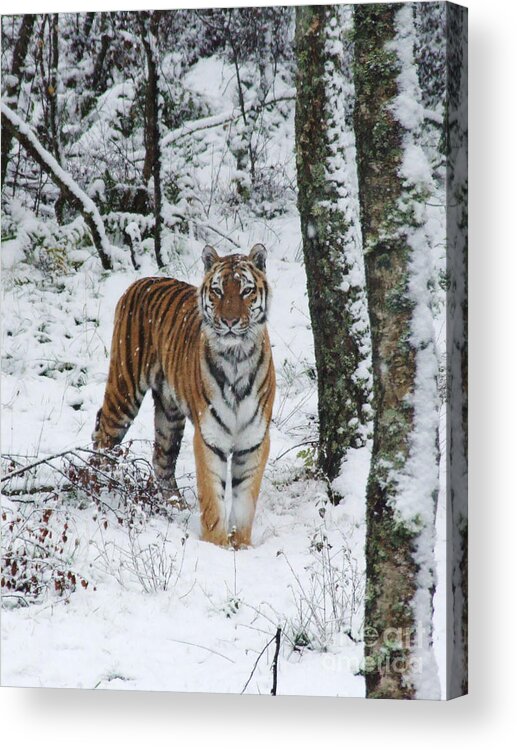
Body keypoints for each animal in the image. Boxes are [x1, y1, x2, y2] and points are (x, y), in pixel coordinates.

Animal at [93, 244, 278, 548]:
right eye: (218, 291)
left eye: (246, 291)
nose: (229, 321)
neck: (236, 357)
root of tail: (142, 280)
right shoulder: (210, 437)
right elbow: (213, 500)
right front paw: (216, 545)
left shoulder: (254, 441)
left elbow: (244, 503)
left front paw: (241, 545)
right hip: (124, 389)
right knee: (103, 436)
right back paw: (98, 485)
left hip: (169, 415)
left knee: (161, 460)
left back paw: (175, 507)